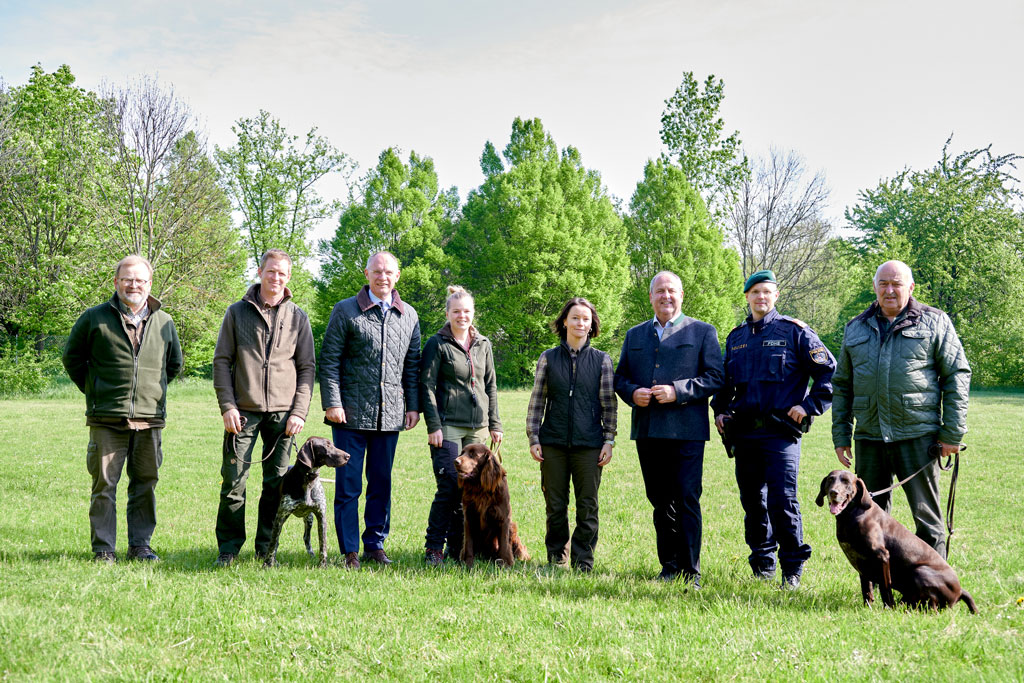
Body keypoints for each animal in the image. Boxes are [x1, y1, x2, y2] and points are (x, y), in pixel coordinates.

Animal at [815, 471, 974, 614]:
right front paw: (867, 609)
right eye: (830, 479)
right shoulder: (860, 561)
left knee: (932, 608)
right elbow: (867, 591)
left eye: (846, 482)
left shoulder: (882, 557)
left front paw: (888, 610)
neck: (852, 514)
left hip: (920, 572)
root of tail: (960, 591)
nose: (833, 492)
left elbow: (885, 588)